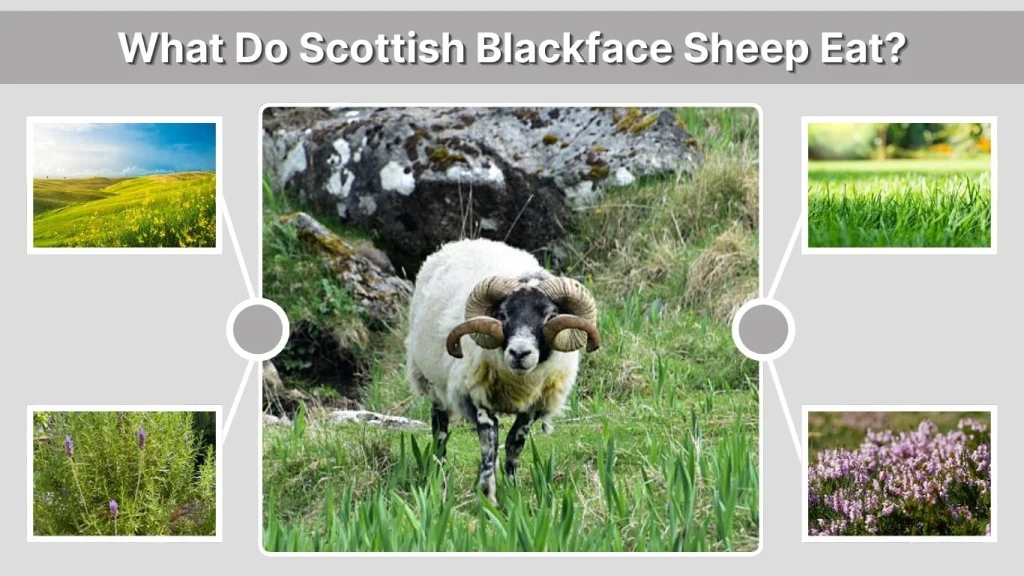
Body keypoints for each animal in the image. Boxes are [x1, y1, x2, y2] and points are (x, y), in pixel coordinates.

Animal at [405, 238, 600, 505]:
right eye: (502, 314)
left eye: (550, 315)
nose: (519, 353)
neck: (519, 383)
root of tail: (463, 241)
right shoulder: (478, 398)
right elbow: (489, 447)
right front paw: (488, 497)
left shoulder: (534, 405)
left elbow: (513, 444)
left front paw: (513, 490)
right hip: (432, 384)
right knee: (439, 431)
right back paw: (439, 475)